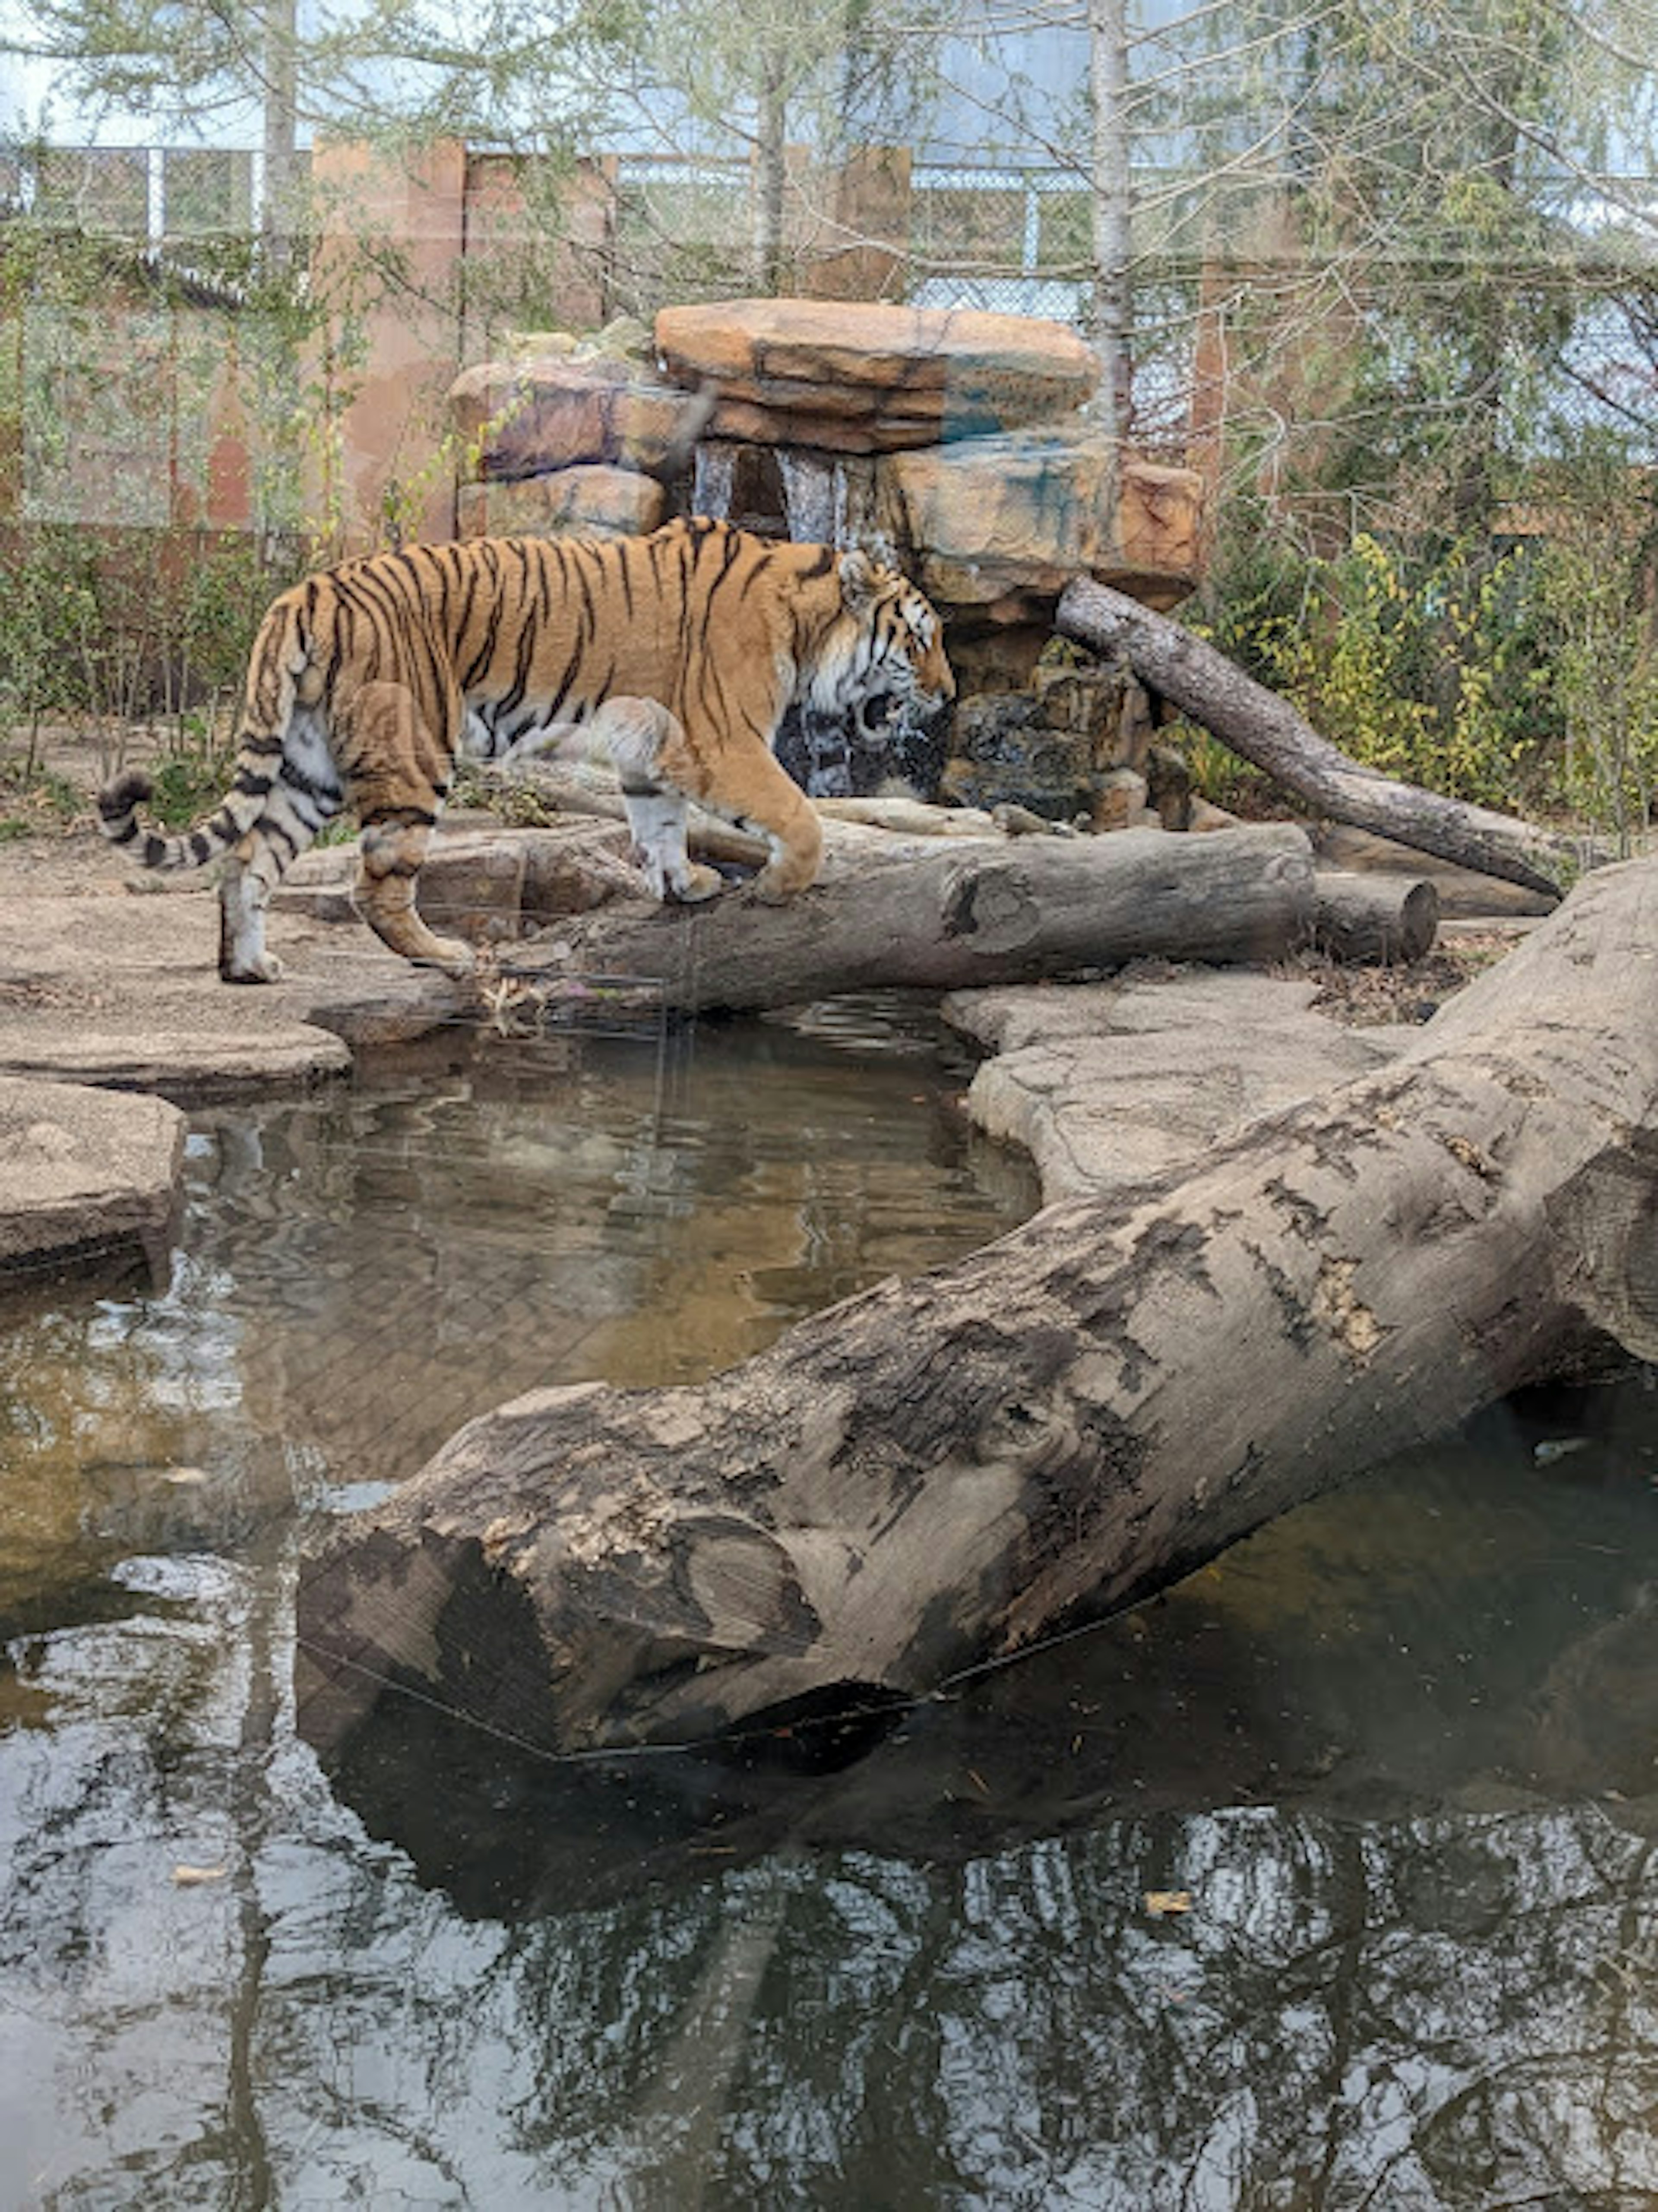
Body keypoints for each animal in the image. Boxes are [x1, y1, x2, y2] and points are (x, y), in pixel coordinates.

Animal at [100, 517, 959, 986]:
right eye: (922, 641)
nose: (950, 694)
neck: (807, 622)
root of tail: (301, 592)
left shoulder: (654, 749)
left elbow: (660, 825)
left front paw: (685, 885)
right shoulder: (722, 741)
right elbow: (802, 816)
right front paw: (780, 886)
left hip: (307, 766)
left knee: (248, 860)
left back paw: (251, 968)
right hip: (415, 753)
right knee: (376, 886)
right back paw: (445, 955)